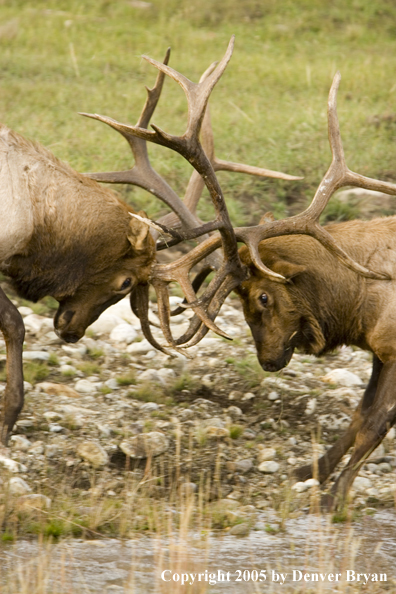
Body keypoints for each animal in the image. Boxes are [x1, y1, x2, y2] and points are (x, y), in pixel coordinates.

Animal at [86, 37, 396, 506]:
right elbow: (360, 414)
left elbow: (377, 421)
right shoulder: (380, 350)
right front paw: (311, 471)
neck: (361, 300)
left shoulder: (391, 347)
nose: (267, 361)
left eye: (264, 295)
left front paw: (334, 497)